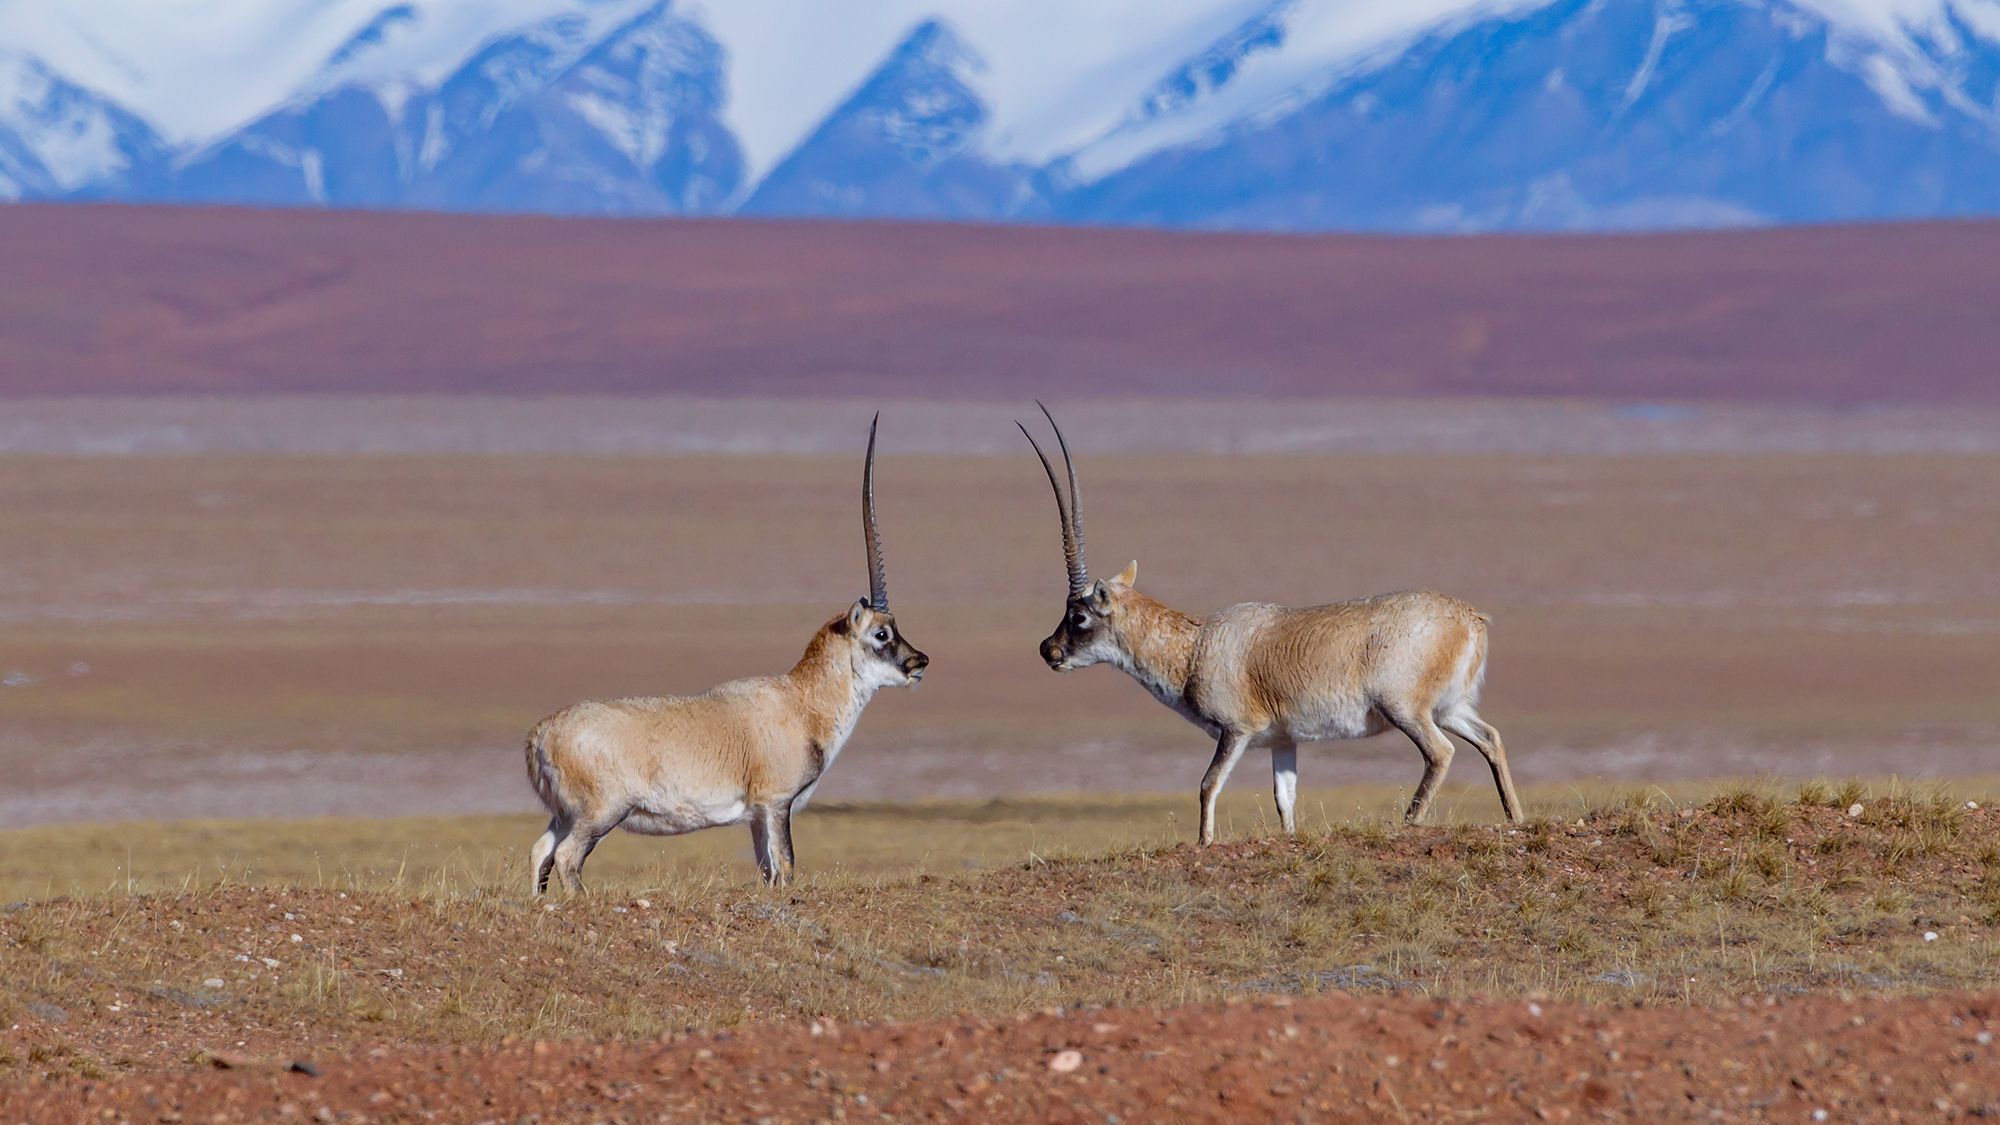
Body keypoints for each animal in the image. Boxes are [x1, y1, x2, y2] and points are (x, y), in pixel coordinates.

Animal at [526, 415, 928, 892]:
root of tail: (540, 735)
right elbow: (787, 866)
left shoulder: (756, 817)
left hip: (565, 816)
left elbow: (769, 871)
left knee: (541, 853)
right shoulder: (776, 804)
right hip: (599, 814)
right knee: (567, 857)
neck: (801, 702)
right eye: (882, 633)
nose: (919, 662)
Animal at [1015, 404, 1522, 845]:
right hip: (1450, 708)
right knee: (1490, 738)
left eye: (1079, 616)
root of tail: (1469, 617)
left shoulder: (1235, 731)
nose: (1048, 650)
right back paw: (1514, 817)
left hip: (1407, 710)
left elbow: (1208, 784)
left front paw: (1204, 843)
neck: (1196, 646)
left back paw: (1409, 822)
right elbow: (1285, 798)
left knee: (1441, 752)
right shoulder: (1284, 740)